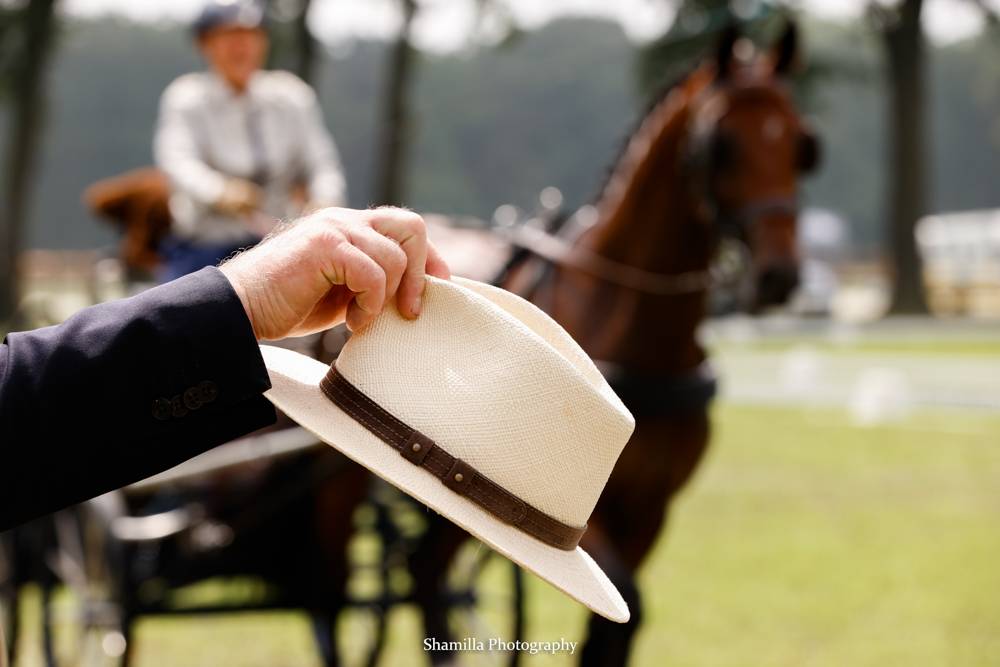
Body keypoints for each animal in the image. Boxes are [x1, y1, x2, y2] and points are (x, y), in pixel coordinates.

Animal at [411, 21, 821, 666]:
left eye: (802, 144)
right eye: (721, 144)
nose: (778, 276)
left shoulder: (651, 508)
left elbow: (616, 627)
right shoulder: (590, 517)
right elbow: (623, 609)